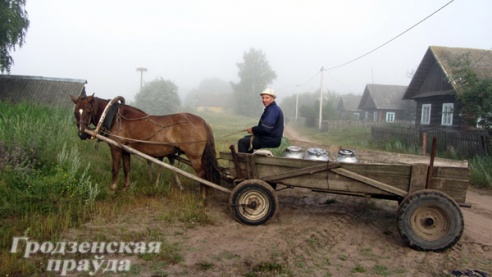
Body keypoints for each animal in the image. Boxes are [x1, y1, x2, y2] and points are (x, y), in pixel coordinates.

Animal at [70, 94, 220, 197]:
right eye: (76, 112)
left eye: (88, 111)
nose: (81, 133)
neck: (114, 118)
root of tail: (202, 121)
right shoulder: (126, 150)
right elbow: (127, 169)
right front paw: (126, 187)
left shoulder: (116, 148)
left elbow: (115, 169)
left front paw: (112, 188)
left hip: (194, 157)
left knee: (202, 175)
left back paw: (202, 198)